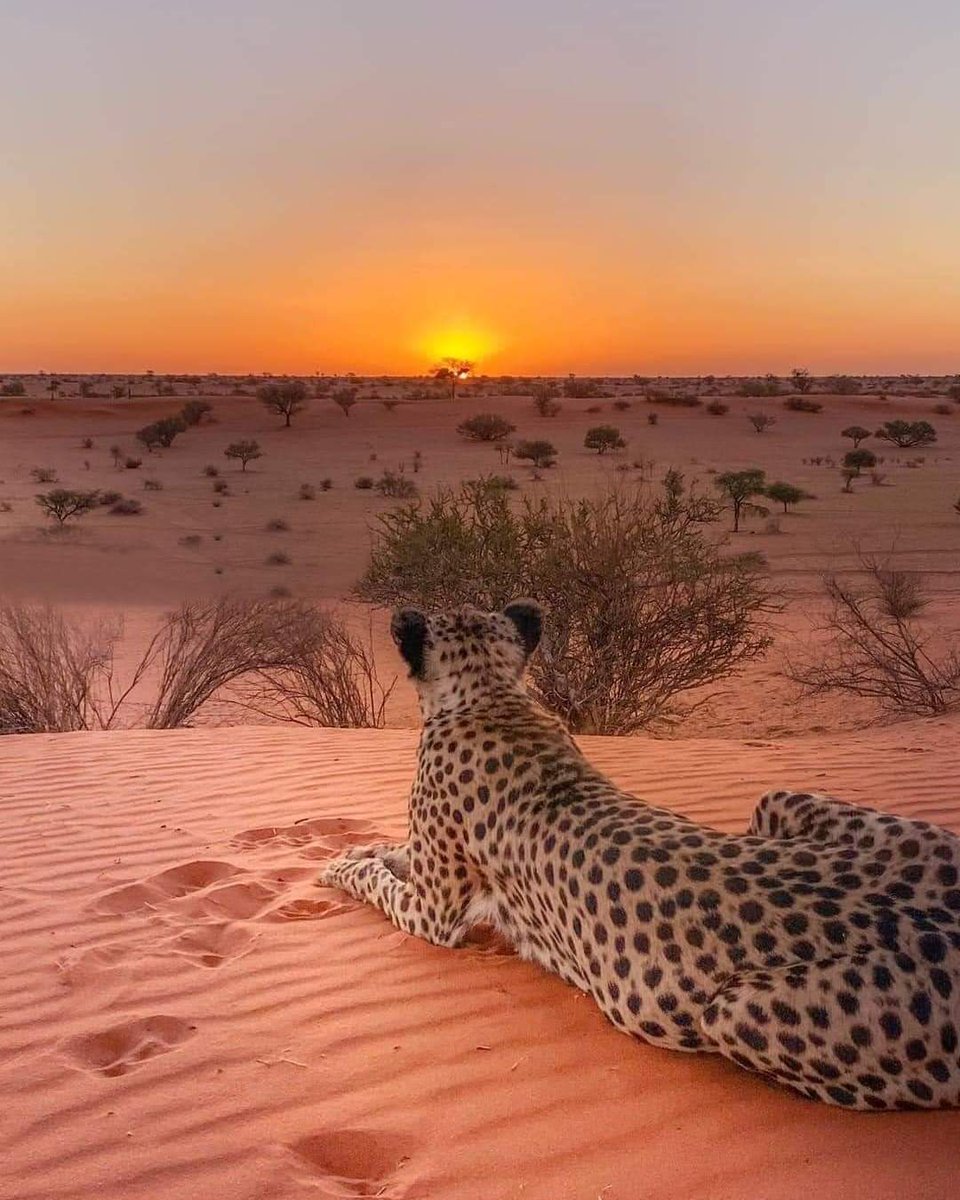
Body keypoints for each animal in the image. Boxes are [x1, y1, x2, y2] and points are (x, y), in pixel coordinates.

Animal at [320, 600, 960, 1109]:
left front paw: (339, 865)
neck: (489, 693)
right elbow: (393, 852)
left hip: (731, 1010)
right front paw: (359, 847)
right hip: (784, 803)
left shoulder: (435, 912)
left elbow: (379, 881)